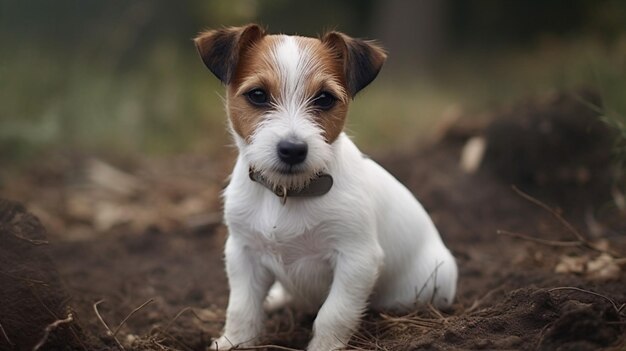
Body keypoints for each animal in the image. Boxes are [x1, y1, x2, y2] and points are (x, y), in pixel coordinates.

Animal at [193, 23, 456, 350]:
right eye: (258, 95)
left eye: (325, 99)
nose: (292, 150)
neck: (288, 193)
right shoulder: (243, 253)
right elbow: (241, 308)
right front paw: (233, 342)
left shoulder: (357, 260)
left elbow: (334, 314)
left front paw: (324, 346)